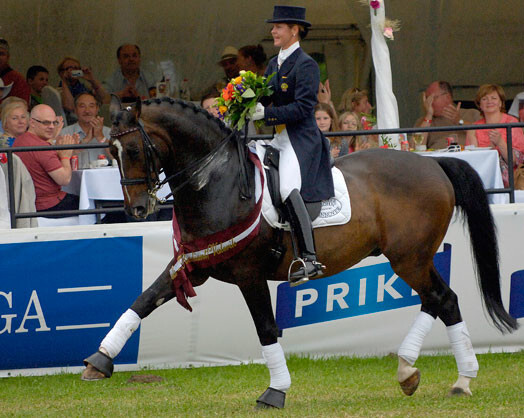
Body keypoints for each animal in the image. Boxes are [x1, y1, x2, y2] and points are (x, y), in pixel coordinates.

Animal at [80, 97, 516, 408]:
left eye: (134, 150)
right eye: (111, 151)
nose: (138, 209)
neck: (215, 182)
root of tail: (434, 165)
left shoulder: (249, 274)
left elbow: (266, 329)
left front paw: (276, 392)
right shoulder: (194, 265)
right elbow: (143, 300)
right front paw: (100, 361)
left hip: (410, 257)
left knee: (441, 298)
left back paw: (447, 376)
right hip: (415, 257)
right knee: (442, 300)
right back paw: (429, 374)